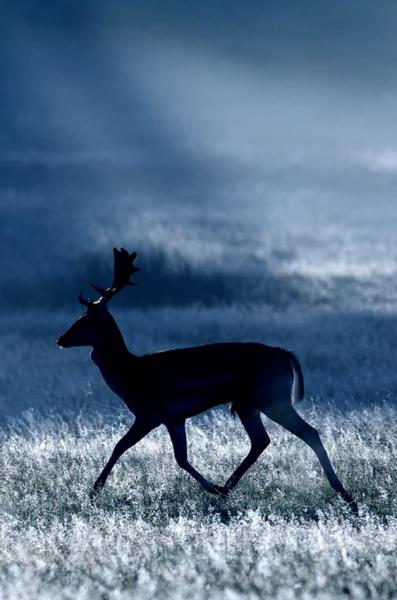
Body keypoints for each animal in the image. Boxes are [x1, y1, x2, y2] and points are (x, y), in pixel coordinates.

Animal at [57, 246, 358, 512]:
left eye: (83, 320)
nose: (61, 339)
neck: (129, 374)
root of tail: (287, 355)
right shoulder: (174, 417)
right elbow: (181, 458)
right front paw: (212, 488)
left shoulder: (149, 412)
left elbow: (120, 445)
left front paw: (94, 491)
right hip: (248, 403)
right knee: (261, 440)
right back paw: (227, 488)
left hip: (272, 397)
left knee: (309, 432)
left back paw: (344, 493)